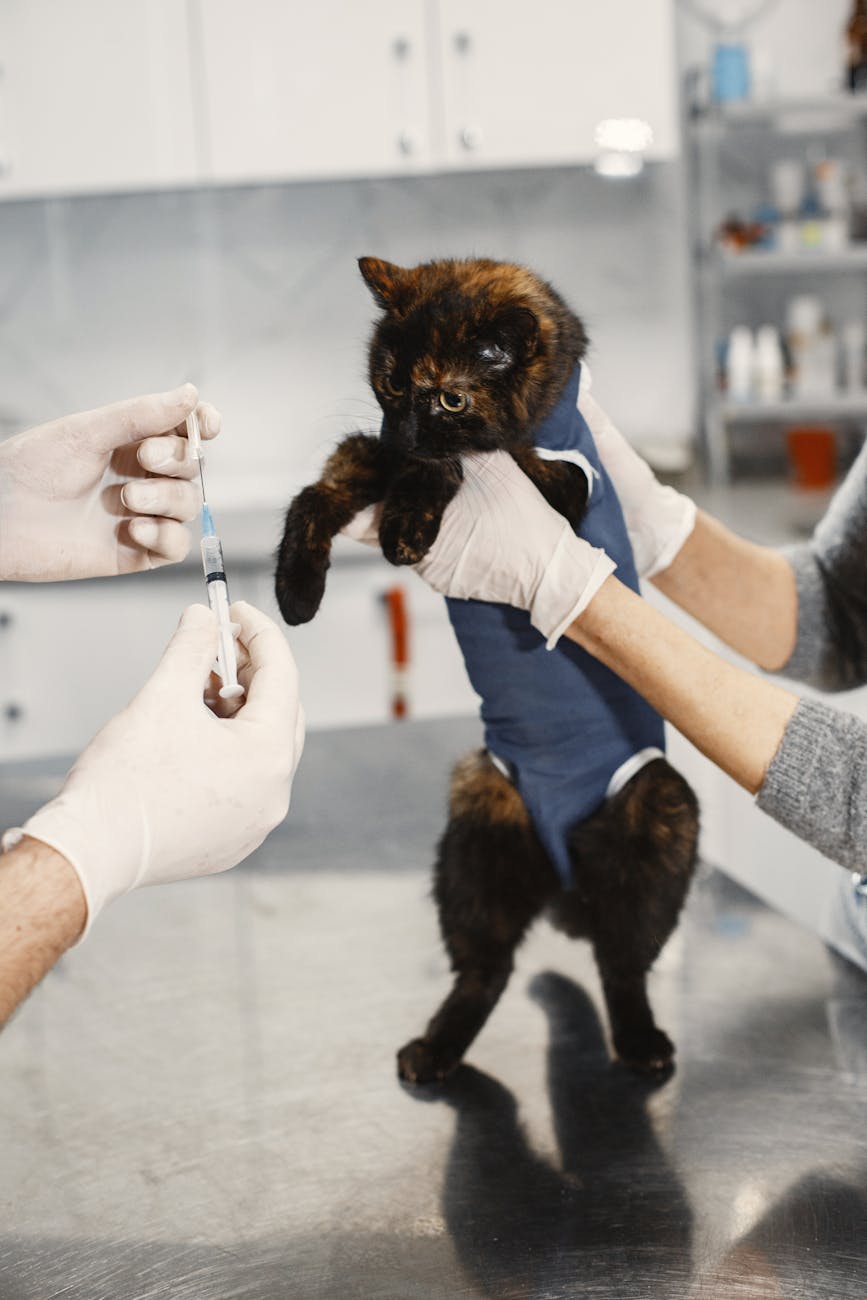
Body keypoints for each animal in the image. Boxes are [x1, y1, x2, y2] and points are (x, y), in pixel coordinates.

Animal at [274, 258, 701, 1081]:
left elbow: (455, 467)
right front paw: (295, 590)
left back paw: (641, 1043)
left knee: (621, 962)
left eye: (449, 396)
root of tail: (561, 870)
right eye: (389, 381)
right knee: (487, 967)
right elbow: (323, 485)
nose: (403, 429)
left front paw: (409, 517)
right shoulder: (369, 451)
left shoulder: (559, 486)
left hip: (660, 810)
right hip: (476, 817)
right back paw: (435, 1050)